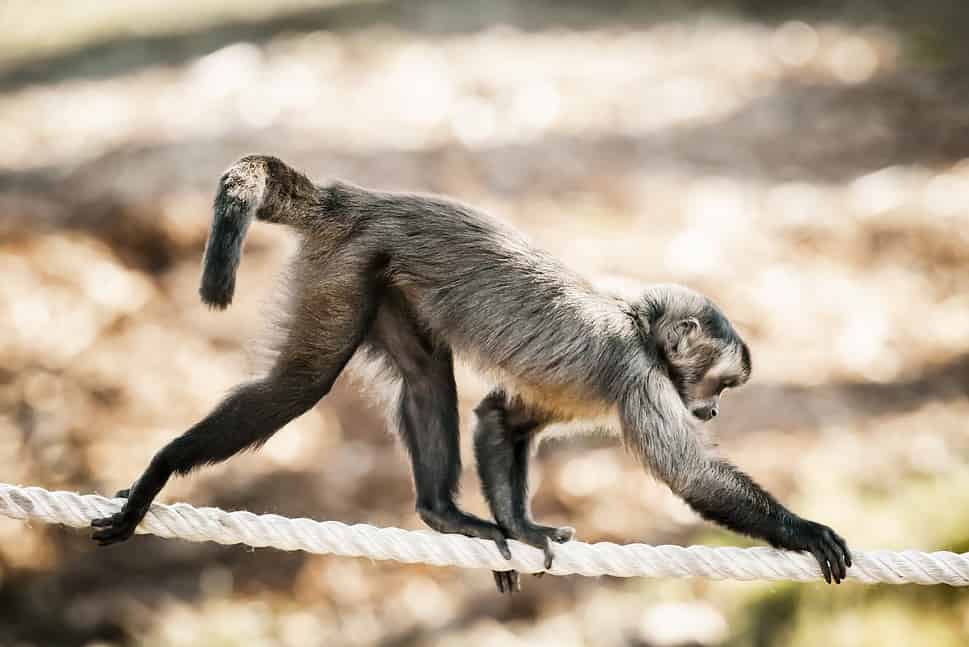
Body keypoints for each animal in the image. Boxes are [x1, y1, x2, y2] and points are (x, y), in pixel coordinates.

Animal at [90, 155, 851, 593]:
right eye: (718, 387)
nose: (712, 412)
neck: (638, 323)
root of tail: (356, 199)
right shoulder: (636, 374)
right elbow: (693, 478)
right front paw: (804, 529)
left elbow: (497, 419)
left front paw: (520, 525)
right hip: (348, 261)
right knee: (301, 384)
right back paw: (163, 466)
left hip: (379, 272)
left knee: (426, 373)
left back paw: (443, 512)